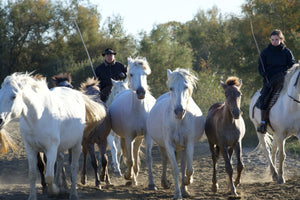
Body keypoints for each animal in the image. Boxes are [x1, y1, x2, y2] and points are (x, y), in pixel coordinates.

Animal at [110, 56, 157, 189]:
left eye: (145, 74)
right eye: (131, 74)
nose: (141, 92)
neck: (138, 111)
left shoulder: (147, 136)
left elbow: (148, 158)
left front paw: (152, 183)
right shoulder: (128, 137)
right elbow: (129, 159)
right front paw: (128, 176)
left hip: (139, 138)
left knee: (135, 154)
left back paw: (135, 178)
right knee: (127, 155)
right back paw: (131, 178)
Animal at [146, 68, 205, 198]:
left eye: (186, 86)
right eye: (171, 88)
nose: (179, 111)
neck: (178, 122)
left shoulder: (189, 144)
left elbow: (188, 169)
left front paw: (187, 181)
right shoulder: (169, 145)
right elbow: (175, 169)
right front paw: (177, 194)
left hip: (182, 148)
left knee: (183, 166)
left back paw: (185, 189)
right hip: (162, 145)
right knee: (164, 161)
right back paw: (165, 183)